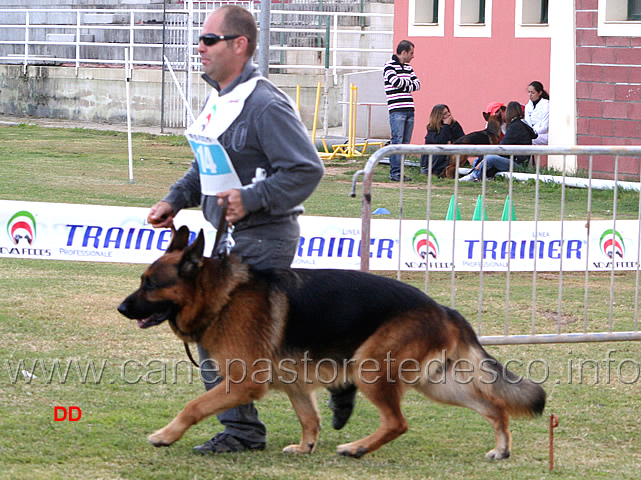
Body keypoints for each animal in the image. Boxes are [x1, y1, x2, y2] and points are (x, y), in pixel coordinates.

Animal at [116, 227, 544, 460]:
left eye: (150, 284)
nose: (121, 307)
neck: (222, 297)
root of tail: (443, 308)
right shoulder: (294, 385)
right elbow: (310, 418)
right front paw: (306, 448)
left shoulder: (242, 384)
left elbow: (193, 406)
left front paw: (165, 435)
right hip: (436, 383)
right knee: (495, 407)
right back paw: (501, 449)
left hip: (369, 369)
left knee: (398, 422)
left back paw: (357, 448)